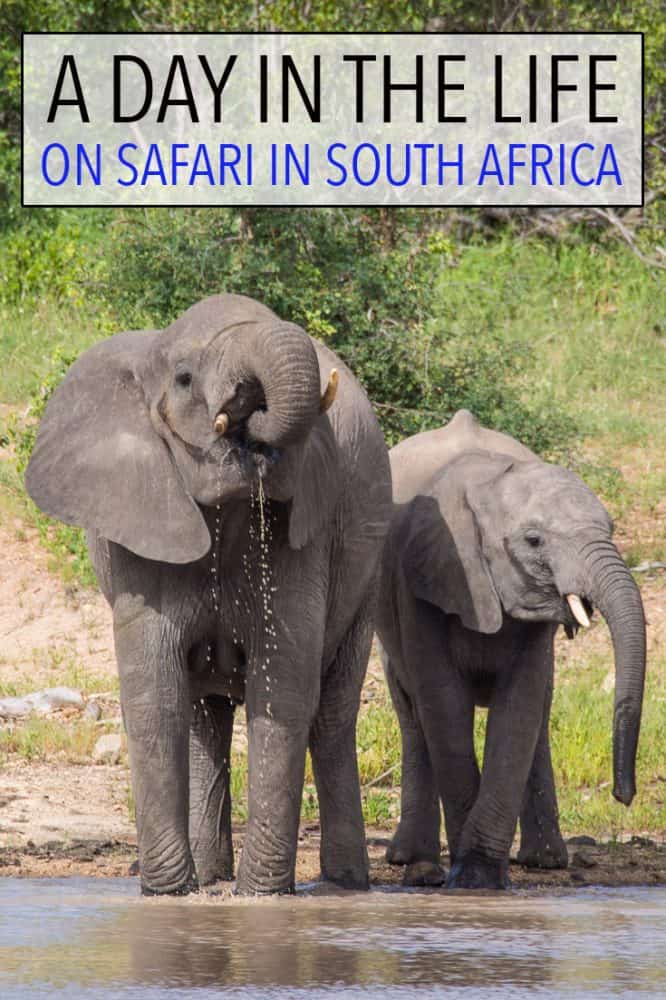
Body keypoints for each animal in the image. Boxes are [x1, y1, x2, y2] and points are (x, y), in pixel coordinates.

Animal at [24, 292, 390, 896]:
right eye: (184, 378)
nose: (250, 414)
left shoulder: (301, 534)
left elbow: (283, 688)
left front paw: (263, 897)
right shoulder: (139, 525)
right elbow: (154, 692)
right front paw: (169, 894)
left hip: (365, 577)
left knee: (332, 716)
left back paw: (342, 886)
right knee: (201, 715)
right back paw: (210, 878)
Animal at [376, 408, 644, 892]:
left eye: (611, 530)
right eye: (534, 541)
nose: (623, 794)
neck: (489, 484)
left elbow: (519, 707)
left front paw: (480, 875)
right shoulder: (422, 582)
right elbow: (444, 704)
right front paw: (470, 880)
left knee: (540, 710)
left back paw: (546, 861)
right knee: (413, 713)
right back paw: (417, 868)